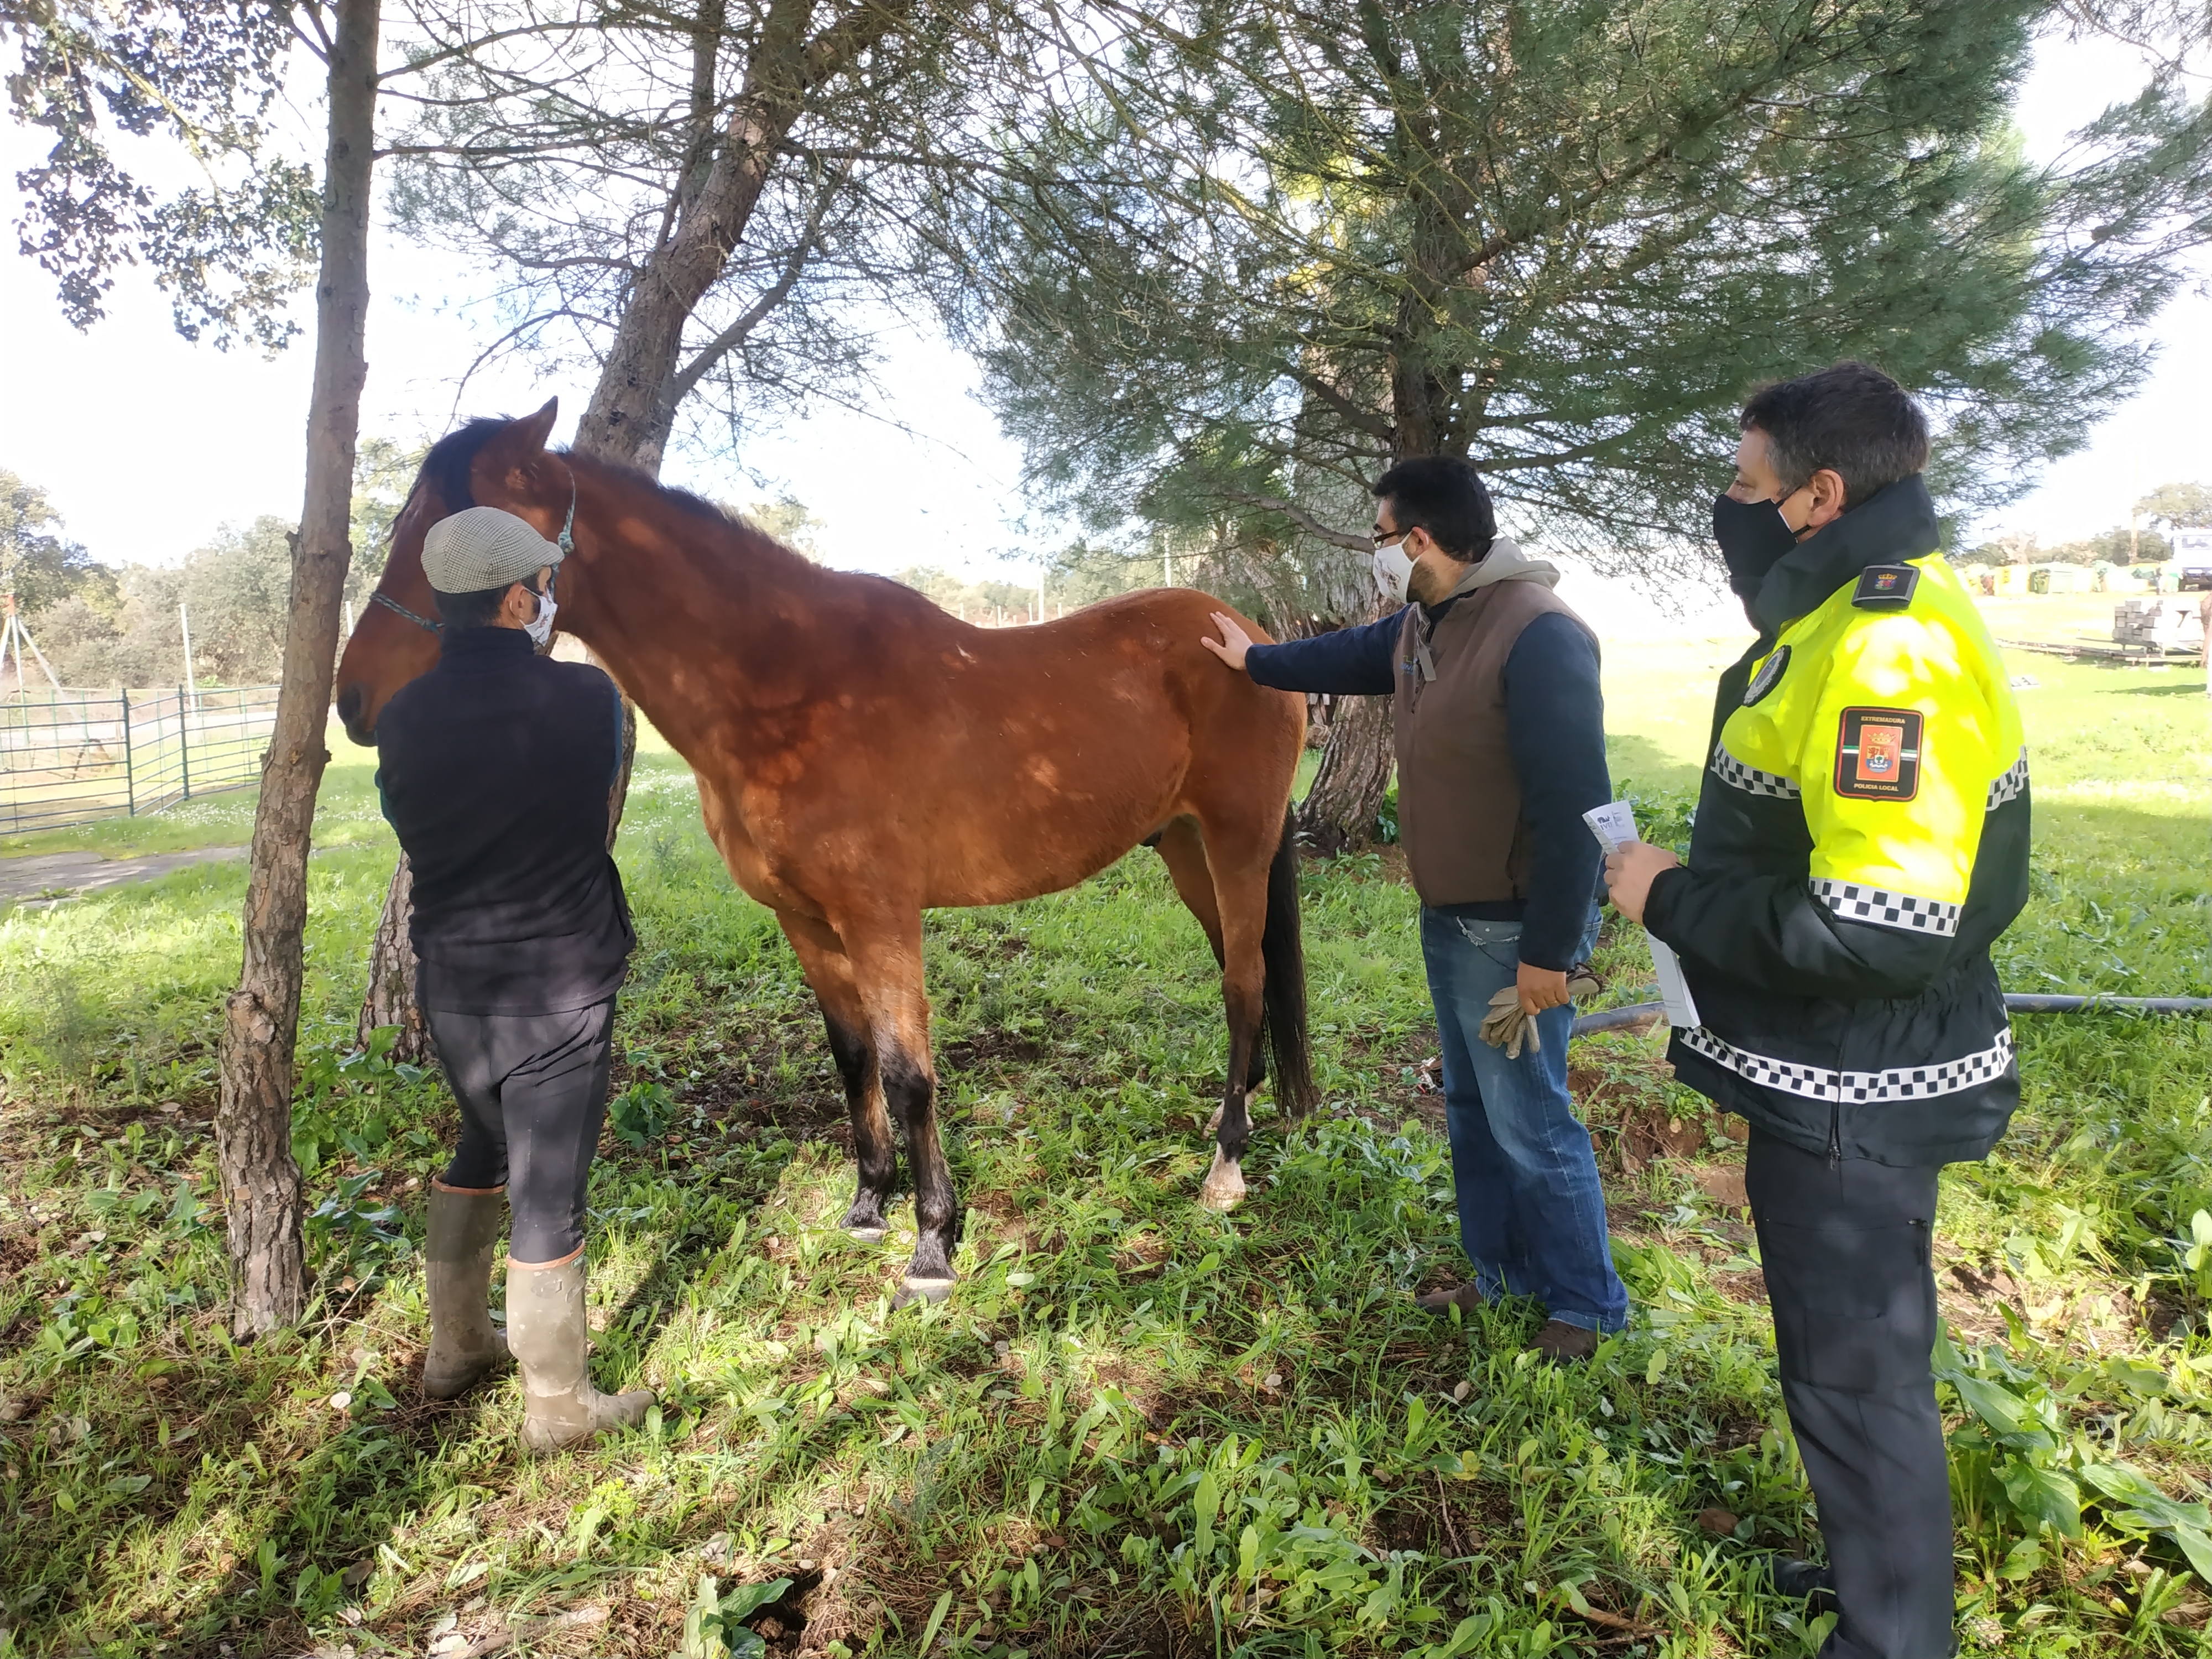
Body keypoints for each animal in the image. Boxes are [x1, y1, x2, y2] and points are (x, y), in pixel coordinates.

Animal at [332, 403, 1310, 1310]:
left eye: (446, 532)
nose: (353, 701)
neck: (788, 690)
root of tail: (1242, 631)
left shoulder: (882, 918)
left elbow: (910, 1075)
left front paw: (932, 1247)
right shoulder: (803, 919)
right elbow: (852, 1057)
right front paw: (869, 1206)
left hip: (1237, 842)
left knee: (1243, 984)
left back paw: (1225, 1166)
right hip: (1183, 847)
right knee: (1240, 971)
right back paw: (1239, 1113)